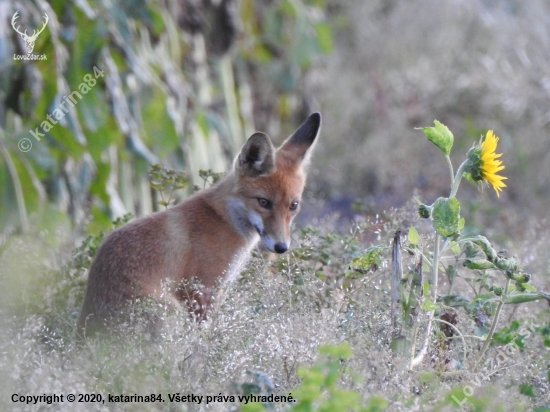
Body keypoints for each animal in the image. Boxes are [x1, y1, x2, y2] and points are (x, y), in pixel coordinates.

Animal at [75, 113, 322, 338]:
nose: (281, 247)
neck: (223, 218)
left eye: (293, 206)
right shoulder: (200, 289)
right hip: (171, 312)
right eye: (263, 202)